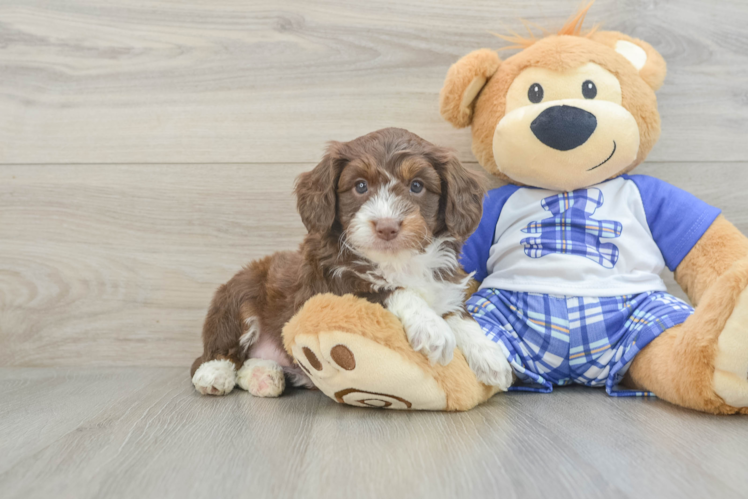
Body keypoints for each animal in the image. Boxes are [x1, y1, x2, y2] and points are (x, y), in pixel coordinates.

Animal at [190, 128, 512, 398]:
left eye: (417, 186)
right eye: (360, 186)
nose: (386, 227)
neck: (396, 260)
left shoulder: (444, 284)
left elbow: (458, 314)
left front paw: (490, 355)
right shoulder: (328, 288)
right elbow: (390, 290)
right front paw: (432, 327)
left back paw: (264, 376)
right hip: (238, 294)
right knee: (216, 351)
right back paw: (215, 373)